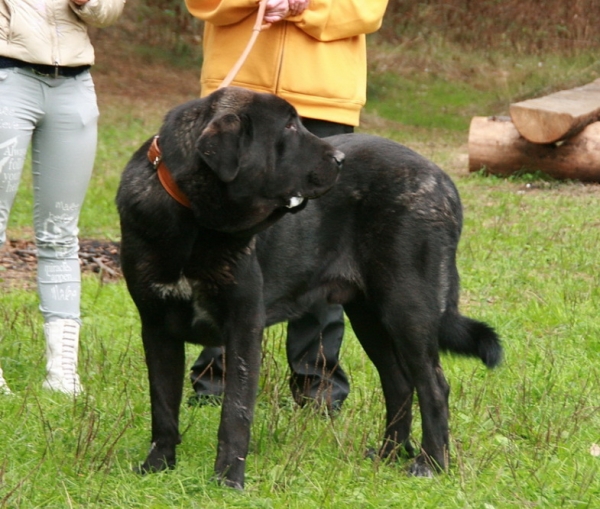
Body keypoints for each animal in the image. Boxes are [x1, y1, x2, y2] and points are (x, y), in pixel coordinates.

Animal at [116, 86, 502, 488]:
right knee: (399, 383)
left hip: (408, 309)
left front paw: (228, 480)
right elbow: (163, 405)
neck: (192, 217)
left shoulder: (243, 325)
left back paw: (431, 463)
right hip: (370, 317)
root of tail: (443, 179)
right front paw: (157, 466)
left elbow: (235, 413)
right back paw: (389, 454)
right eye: (288, 126)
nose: (340, 159)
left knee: (433, 386)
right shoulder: (156, 327)